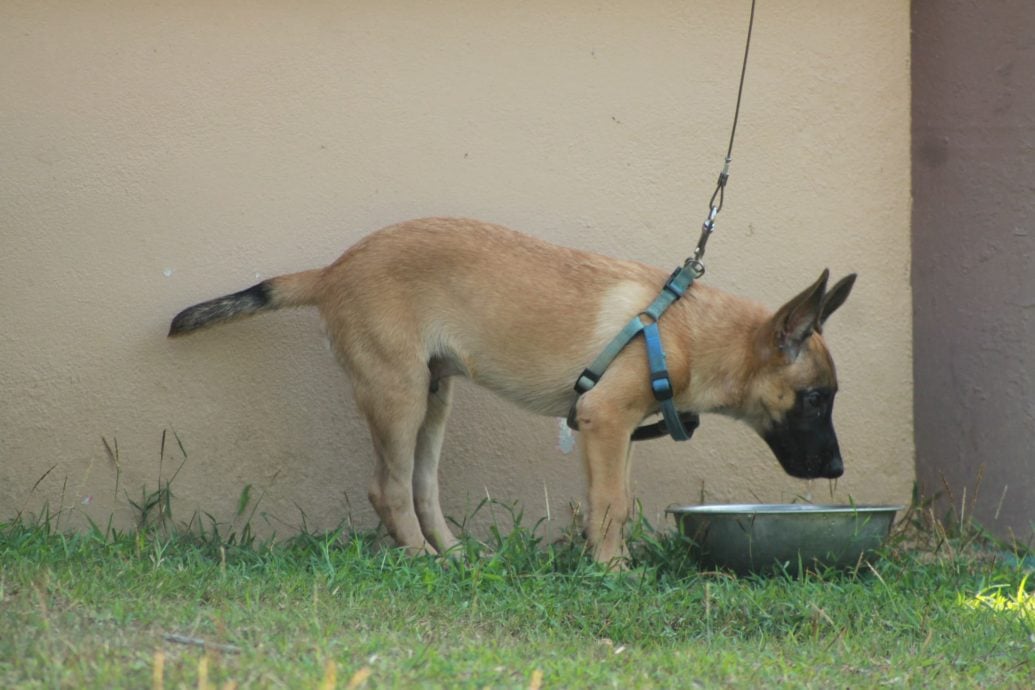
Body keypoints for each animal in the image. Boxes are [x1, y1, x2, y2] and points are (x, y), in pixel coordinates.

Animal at [169, 218, 856, 562]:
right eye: (815, 399)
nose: (837, 469)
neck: (684, 330)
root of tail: (333, 270)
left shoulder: (612, 433)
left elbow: (613, 502)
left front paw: (605, 561)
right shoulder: (605, 420)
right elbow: (612, 505)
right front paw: (613, 572)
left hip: (433, 398)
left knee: (421, 485)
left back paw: (455, 555)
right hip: (397, 395)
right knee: (387, 488)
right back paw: (421, 560)